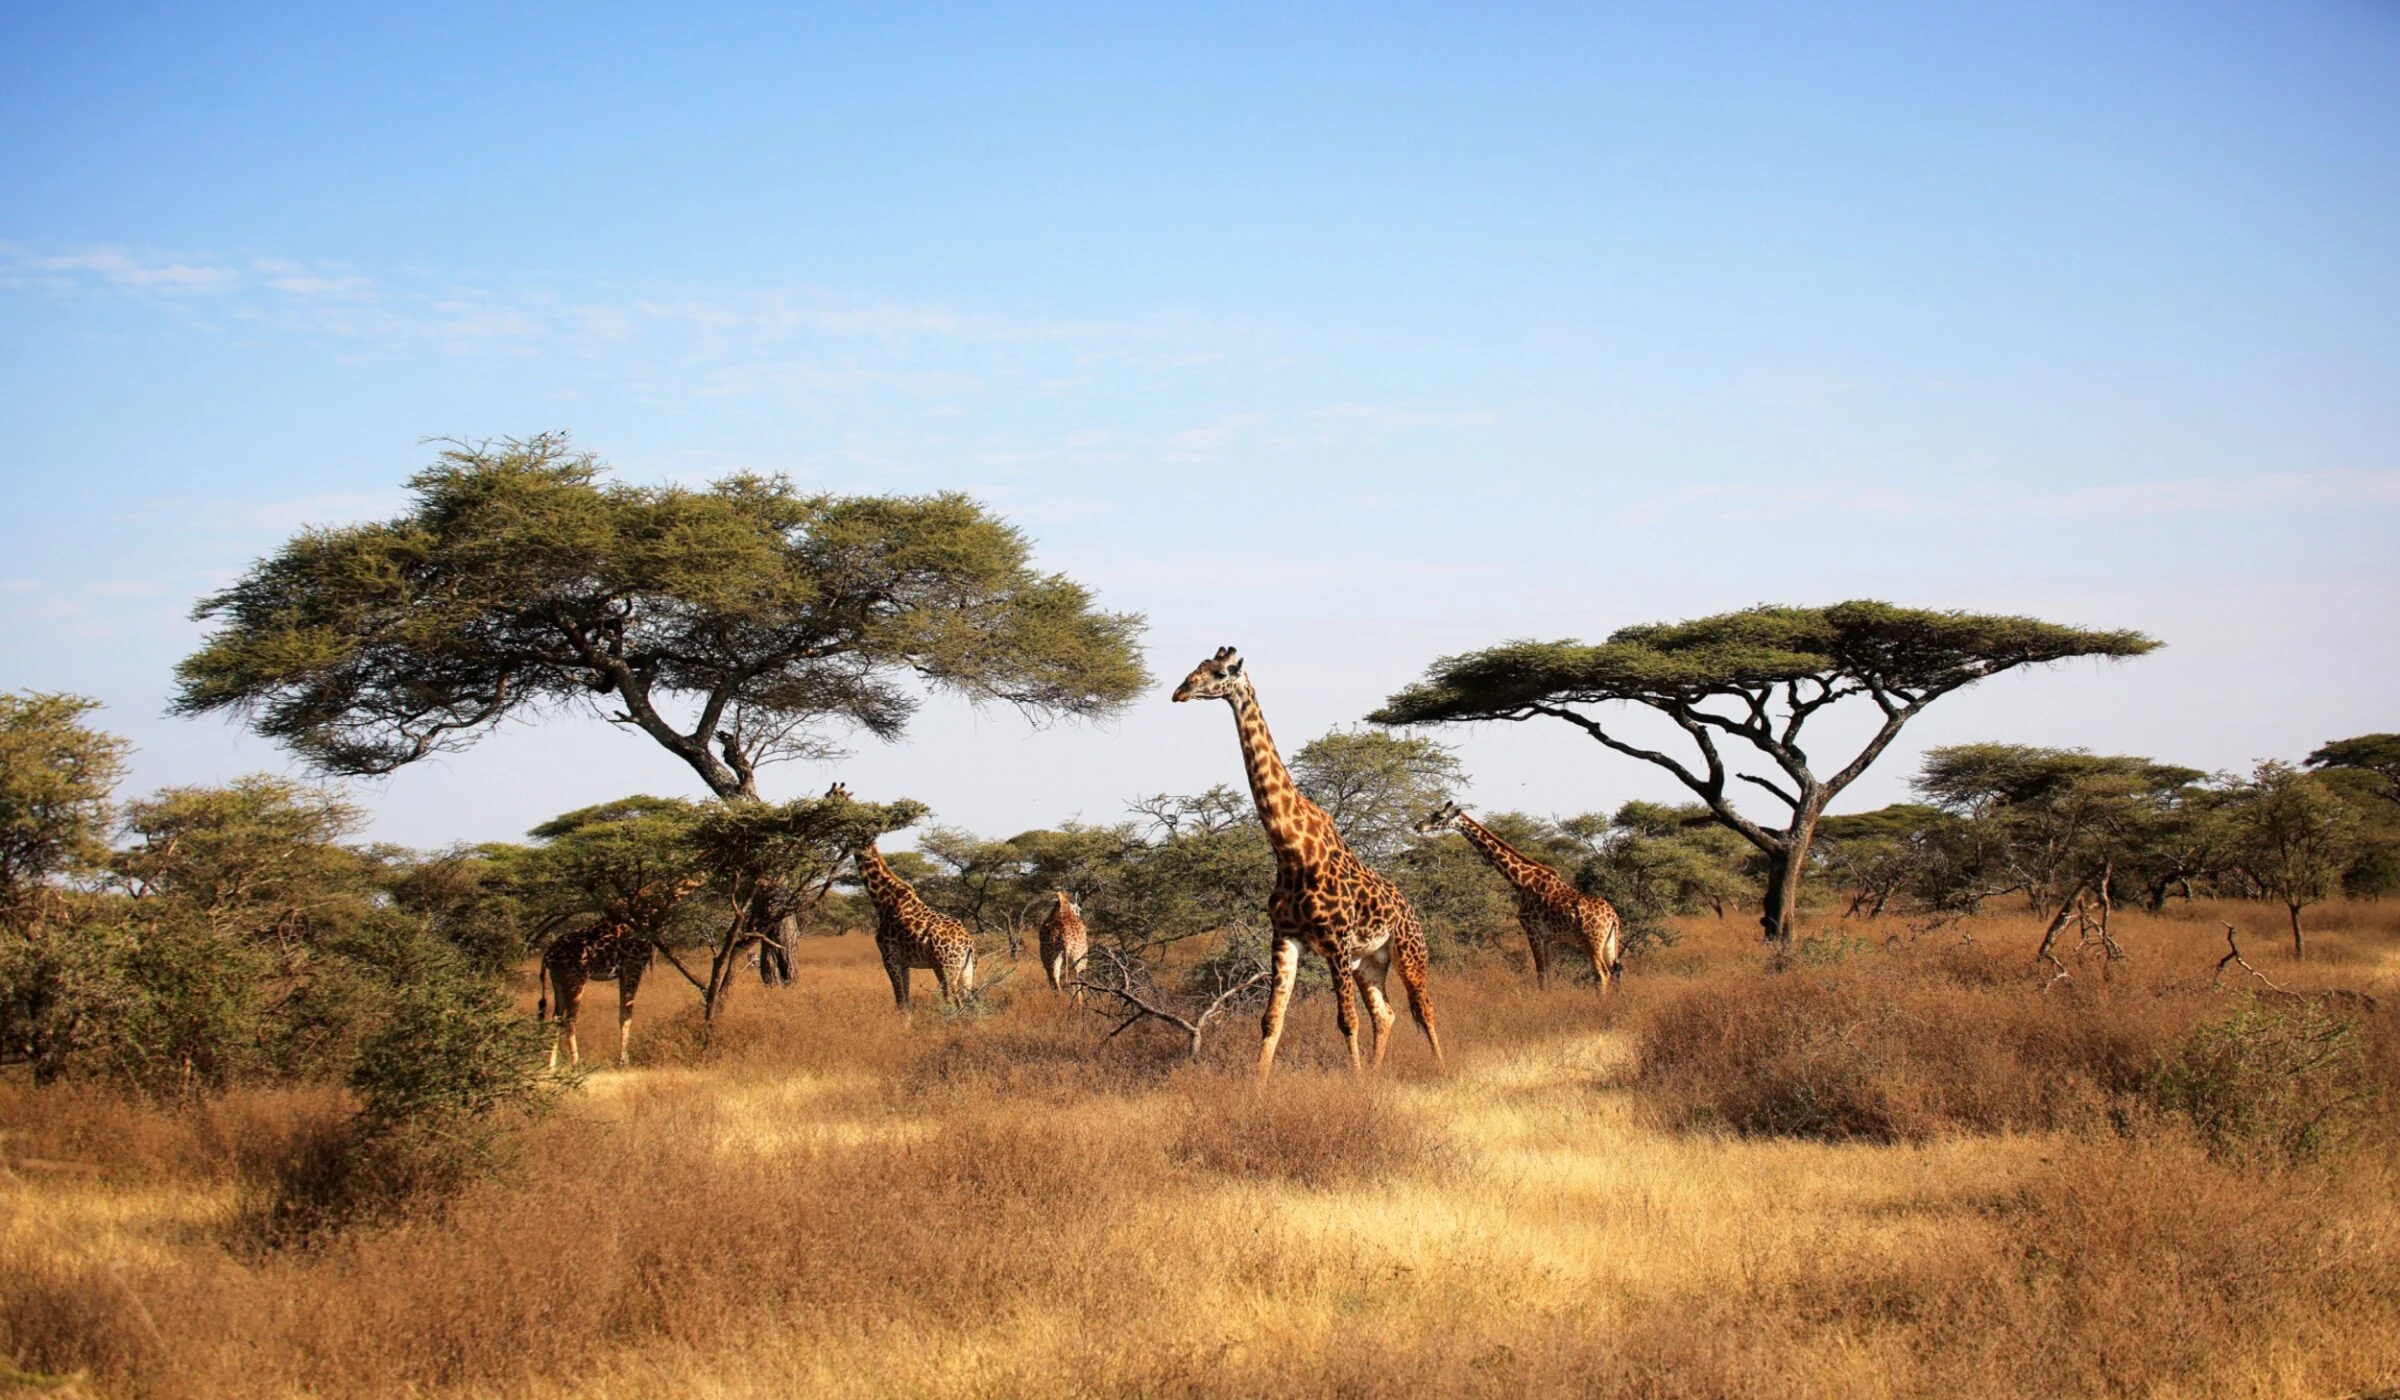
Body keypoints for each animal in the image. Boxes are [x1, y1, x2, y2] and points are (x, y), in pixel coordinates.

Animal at [832, 784, 979, 1011]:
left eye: (829, 795)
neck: (882, 899)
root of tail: (968, 942)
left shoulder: (889, 957)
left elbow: (901, 1002)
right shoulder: (904, 962)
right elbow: (906, 1001)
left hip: (945, 967)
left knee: (955, 1002)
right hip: (966, 970)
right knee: (969, 1004)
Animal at [1172, 646, 1445, 1077]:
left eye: (1221, 672)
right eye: (1196, 668)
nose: (1180, 691)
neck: (1290, 851)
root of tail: (1409, 907)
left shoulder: (1334, 941)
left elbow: (1346, 1020)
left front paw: (1355, 1083)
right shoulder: (1285, 938)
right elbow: (1271, 1019)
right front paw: (1257, 1085)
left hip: (1408, 951)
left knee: (1424, 1007)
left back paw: (1440, 1068)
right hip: (1368, 961)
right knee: (1386, 1014)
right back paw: (1378, 1074)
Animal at [1415, 800, 1624, 992]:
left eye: (1440, 817)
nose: (1418, 826)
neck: (1522, 882)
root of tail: (1612, 916)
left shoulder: (1532, 931)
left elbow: (1540, 974)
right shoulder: (1548, 938)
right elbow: (1548, 975)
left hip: (1590, 940)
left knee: (1602, 974)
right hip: (1609, 942)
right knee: (1615, 971)